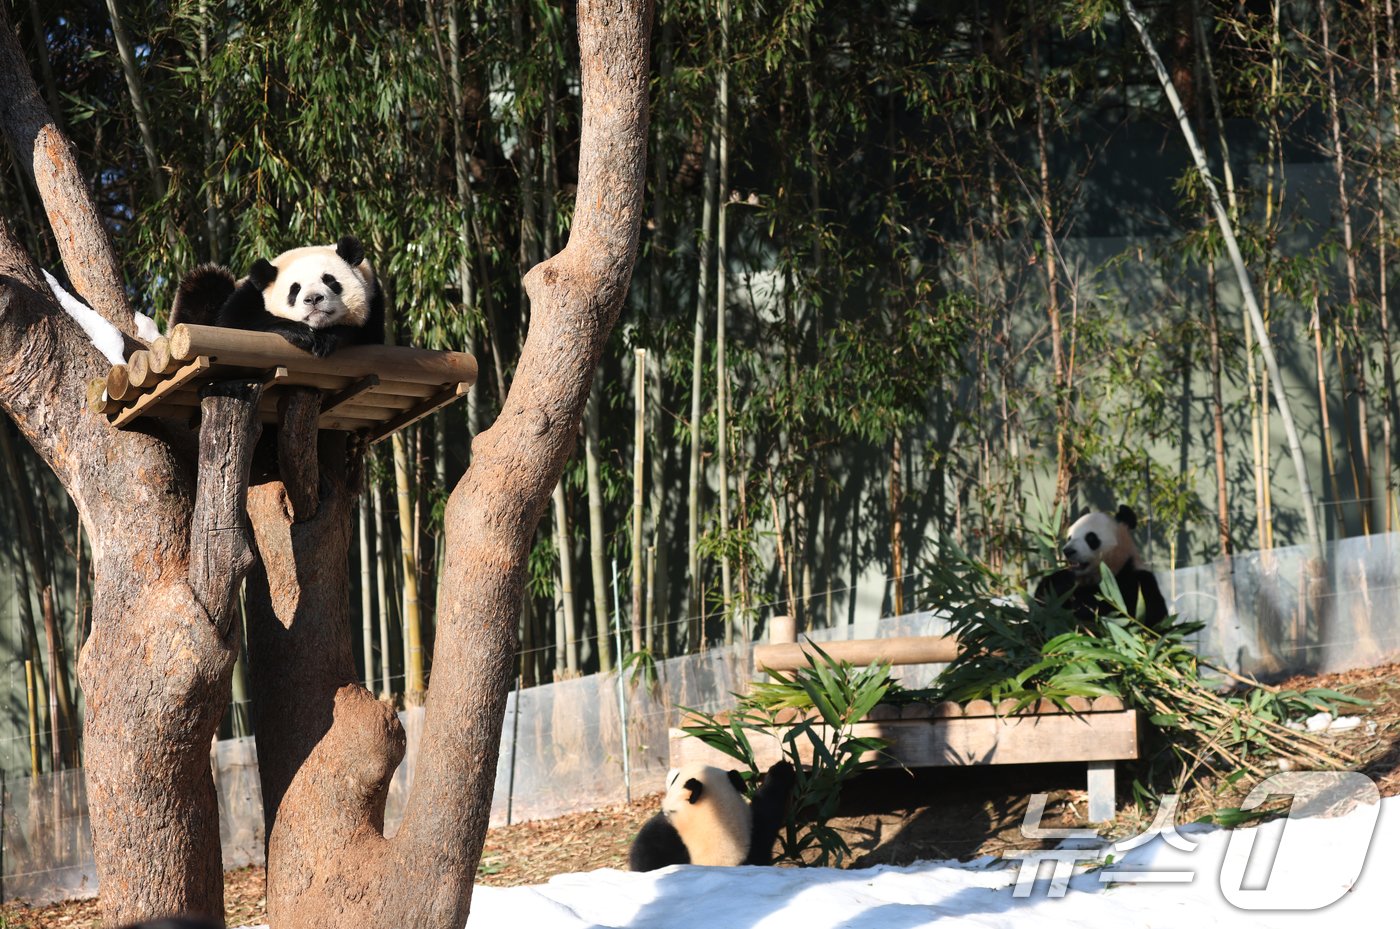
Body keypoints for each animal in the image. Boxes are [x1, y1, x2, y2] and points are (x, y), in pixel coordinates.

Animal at [171, 237, 386, 356]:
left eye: (329, 280)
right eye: (295, 290)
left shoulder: (374, 298)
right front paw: (300, 333)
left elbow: (365, 333)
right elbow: (232, 322)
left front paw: (326, 338)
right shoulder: (250, 293)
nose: (313, 299)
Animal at [630, 761, 795, 873]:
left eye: (676, 777)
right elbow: (767, 810)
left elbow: (647, 856)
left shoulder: (668, 836)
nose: (671, 771)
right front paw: (782, 770)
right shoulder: (754, 843)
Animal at [1030, 509, 1170, 632]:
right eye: (1069, 537)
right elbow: (1043, 605)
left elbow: (1136, 618)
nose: (1068, 551)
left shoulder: (1137, 581)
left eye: (1090, 537)